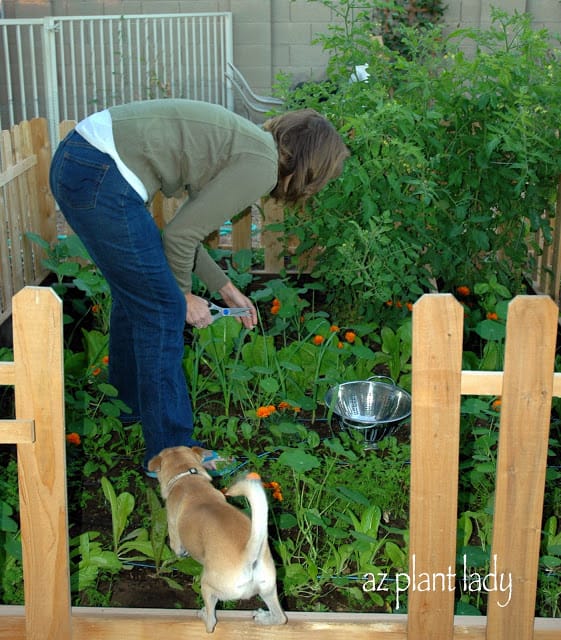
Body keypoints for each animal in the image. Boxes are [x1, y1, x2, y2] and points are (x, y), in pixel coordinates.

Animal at [147, 448, 286, 632]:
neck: (188, 478)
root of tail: (248, 557)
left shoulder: (174, 533)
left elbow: (177, 549)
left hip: (208, 587)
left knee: (211, 622)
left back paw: (204, 615)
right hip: (268, 589)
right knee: (280, 617)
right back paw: (263, 618)